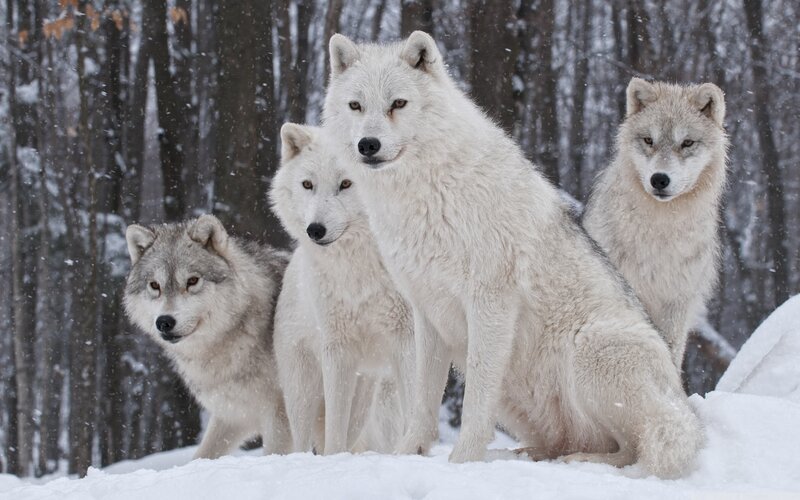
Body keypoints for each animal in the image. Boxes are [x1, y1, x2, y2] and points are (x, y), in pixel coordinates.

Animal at [123, 214, 292, 459]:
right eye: (155, 285)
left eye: (192, 281)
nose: (164, 322)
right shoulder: (233, 415)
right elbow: (202, 455)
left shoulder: (280, 413)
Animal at [269, 123, 414, 455]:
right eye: (307, 184)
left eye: (347, 183)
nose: (315, 230)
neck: (360, 269)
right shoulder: (337, 349)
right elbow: (335, 430)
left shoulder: (408, 340)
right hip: (303, 390)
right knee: (304, 440)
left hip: (370, 394)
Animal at [322, 31, 702, 478]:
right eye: (356, 105)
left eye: (398, 103)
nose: (368, 144)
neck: (426, 194)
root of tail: (683, 405)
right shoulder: (427, 311)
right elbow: (422, 401)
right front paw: (406, 455)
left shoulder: (490, 303)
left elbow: (474, 402)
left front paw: (462, 463)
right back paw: (525, 456)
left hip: (591, 347)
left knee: (635, 447)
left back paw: (580, 462)